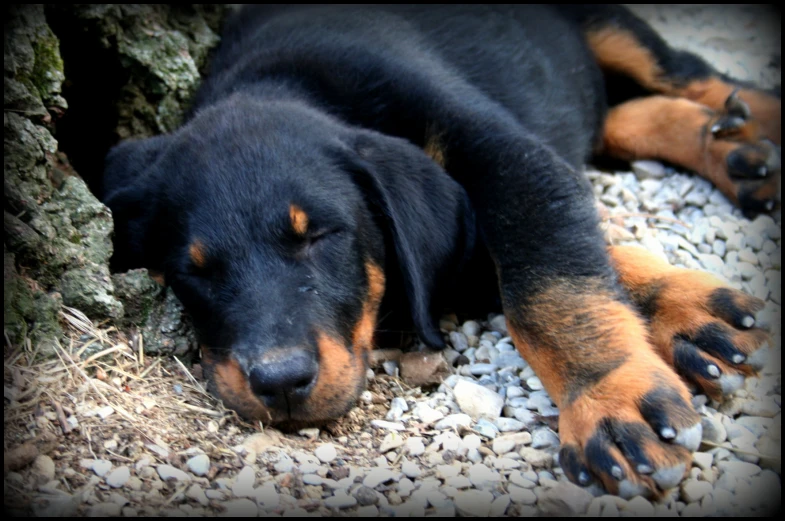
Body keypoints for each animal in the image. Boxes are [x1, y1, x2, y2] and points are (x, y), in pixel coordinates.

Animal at [102, 6, 776, 498]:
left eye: (320, 235)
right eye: (193, 271)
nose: (281, 382)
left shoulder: (506, 156)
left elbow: (549, 279)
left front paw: (611, 397)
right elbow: (547, 263)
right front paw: (688, 313)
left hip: (612, 30)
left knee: (697, 78)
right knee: (626, 115)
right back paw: (733, 151)